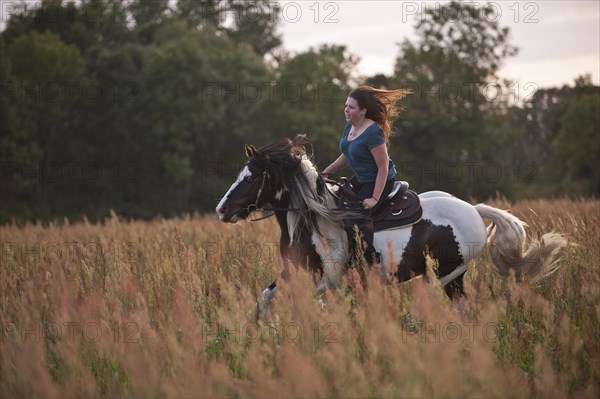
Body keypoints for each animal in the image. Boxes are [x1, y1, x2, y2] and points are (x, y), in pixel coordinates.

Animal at [216, 136, 568, 318]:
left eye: (251, 177)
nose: (222, 210)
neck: (313, 222)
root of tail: (473, 210)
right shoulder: (292, 273)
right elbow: (264, 299)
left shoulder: (326, 279)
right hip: (442, 276)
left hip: (447, 275)